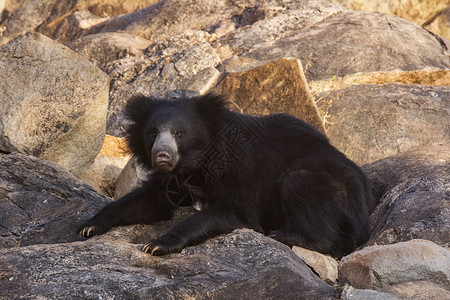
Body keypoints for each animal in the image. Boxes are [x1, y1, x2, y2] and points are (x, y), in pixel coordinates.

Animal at [78, 93, 376, 258]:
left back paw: (287, 235)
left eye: (179, 133)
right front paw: (89, 226)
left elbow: (235, 213)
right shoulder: (177, 179)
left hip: (331, 188)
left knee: (301, 186)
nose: (162, 156)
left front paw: (157, 244)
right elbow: (150, 199)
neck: (197, 162)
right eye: (152, 133)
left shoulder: (243, 170)